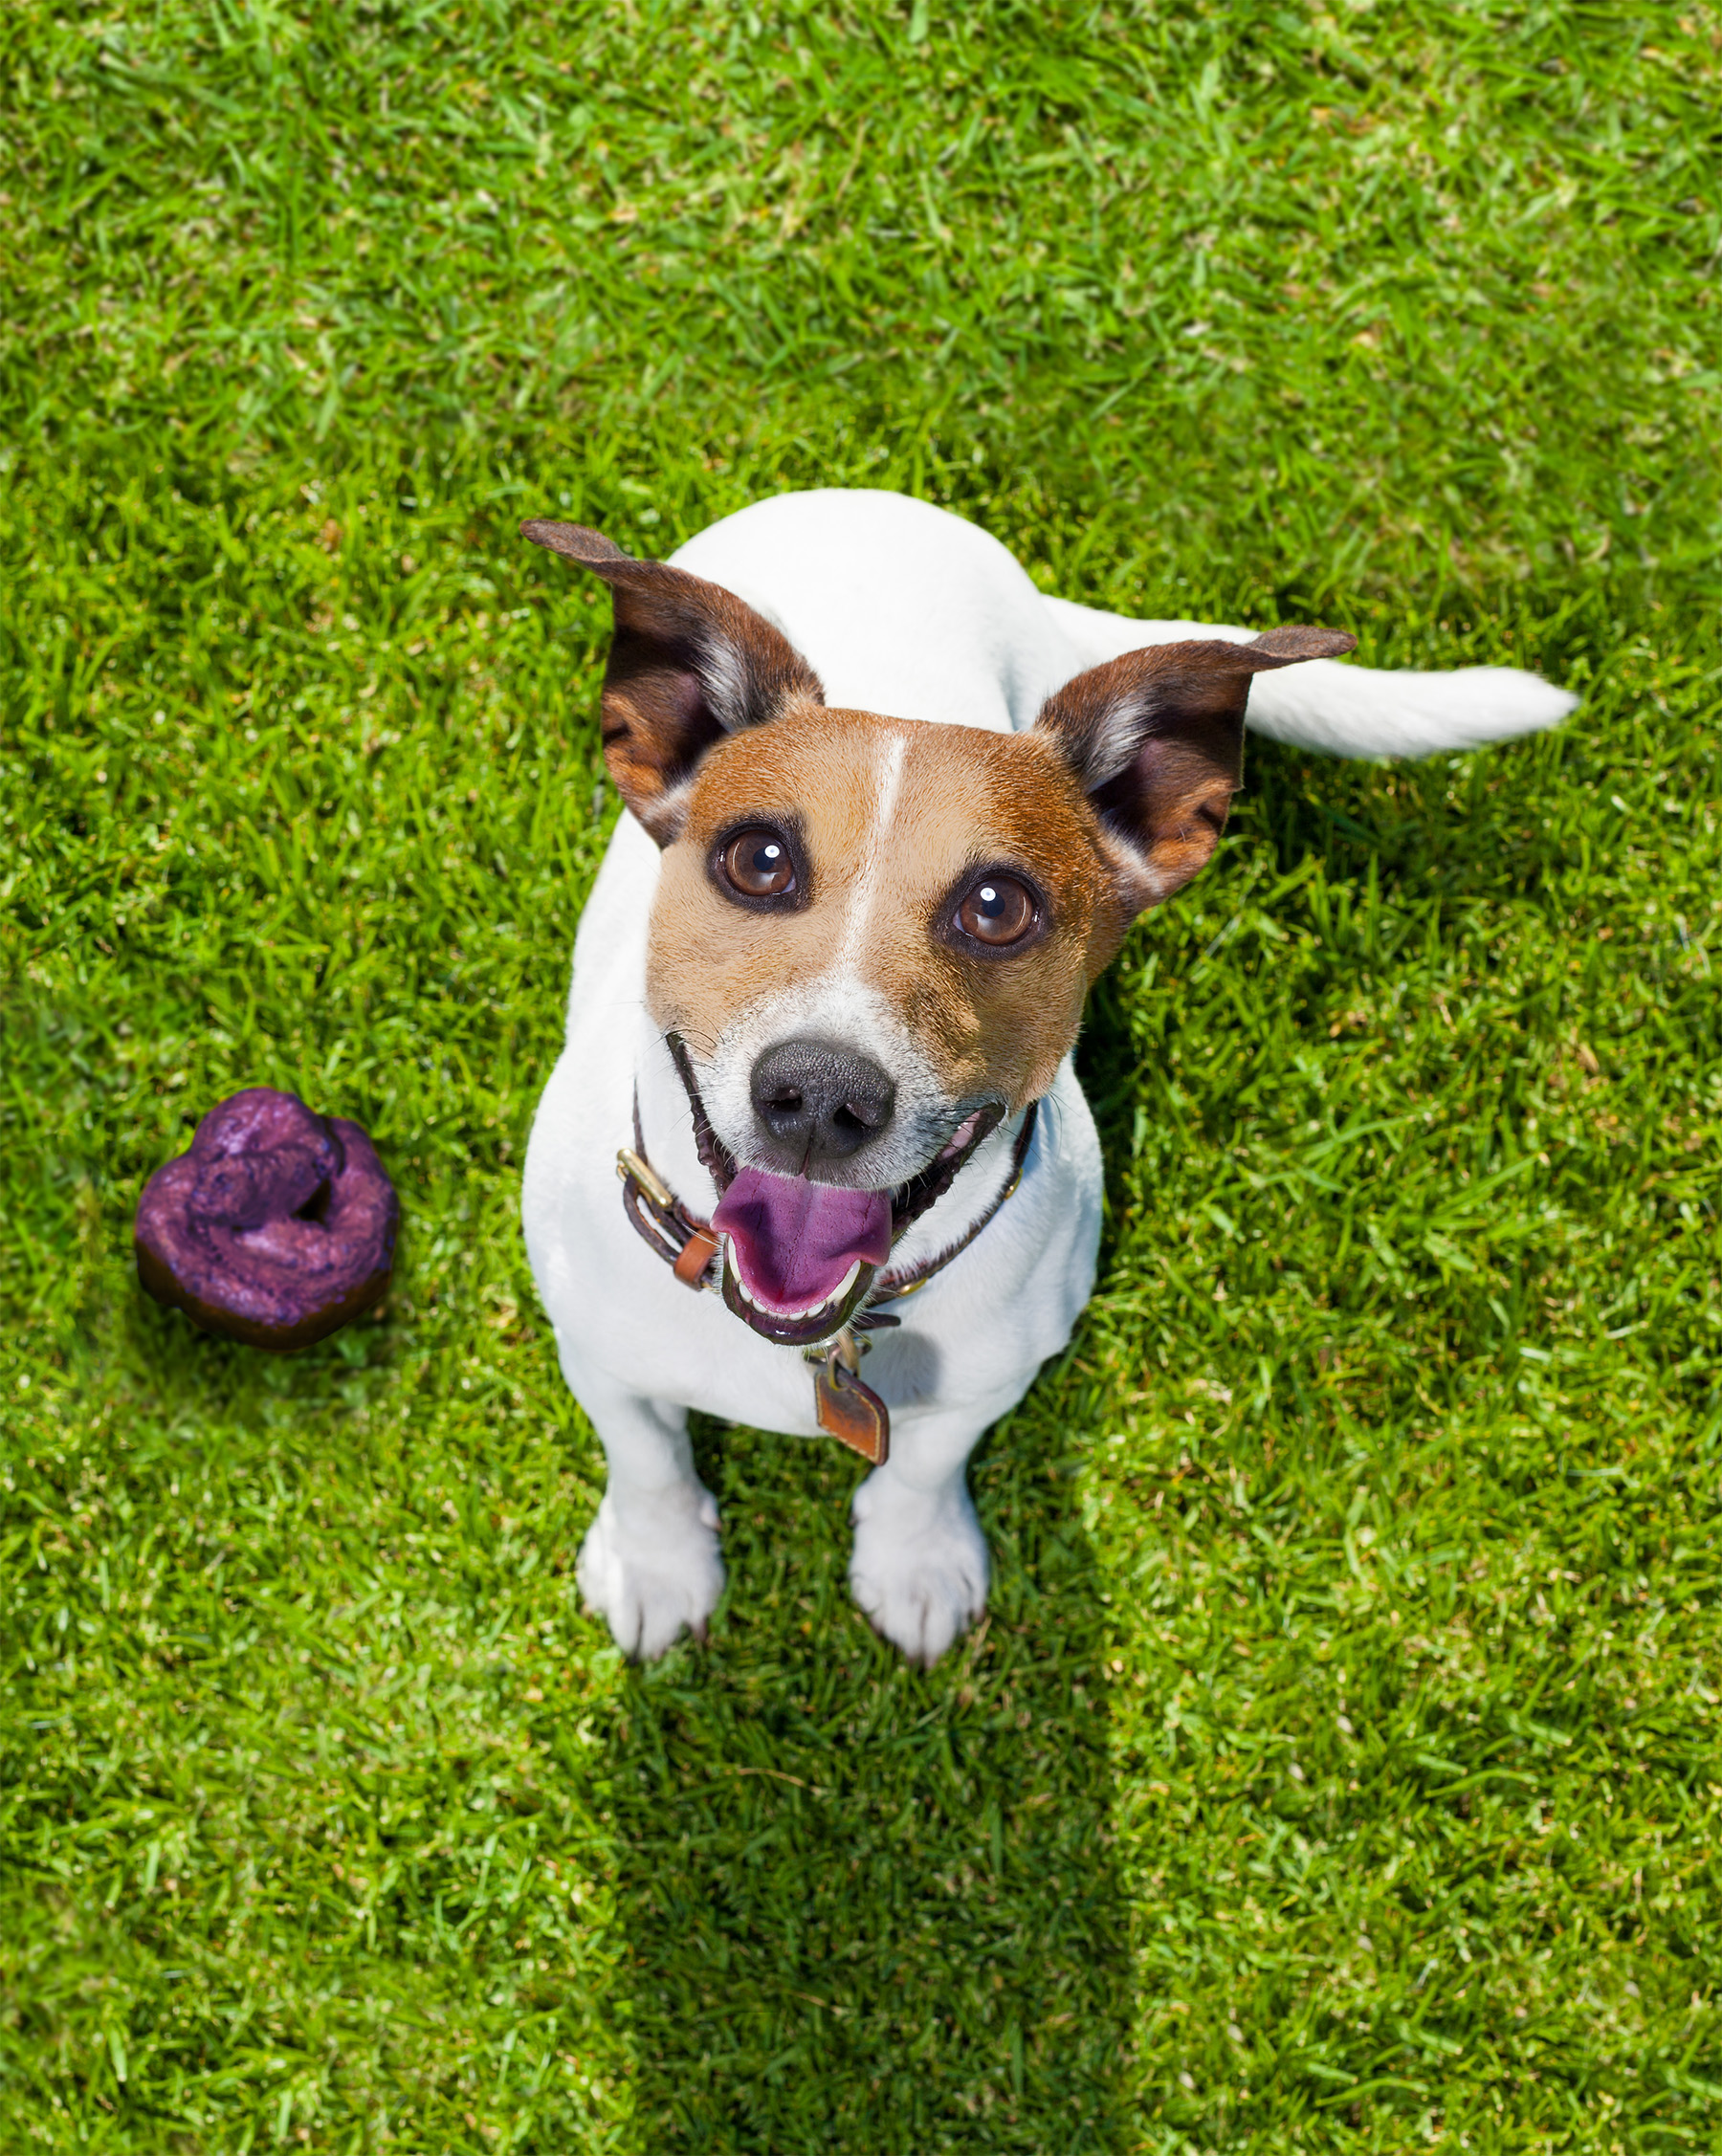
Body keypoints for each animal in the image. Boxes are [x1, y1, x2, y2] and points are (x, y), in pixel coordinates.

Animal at [515, 494, 1578, 1664]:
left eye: (997, 906)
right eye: (757, 860)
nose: (821, 1096)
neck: (827, 1333)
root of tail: (876, 504)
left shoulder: (993, 1376)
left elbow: (926, 1466)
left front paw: (914, 1558)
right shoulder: (593, 1345)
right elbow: (643, 1451)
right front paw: (657, 1562)